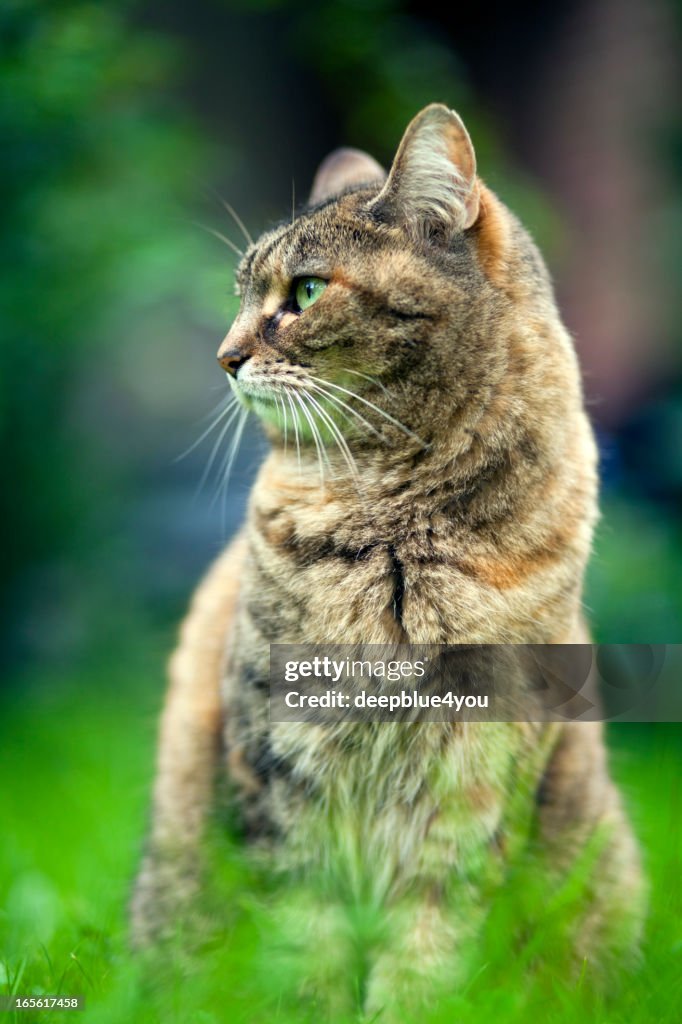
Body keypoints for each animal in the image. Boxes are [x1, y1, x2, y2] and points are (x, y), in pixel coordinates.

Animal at [131, 101, 643, 1015]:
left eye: (304, 292)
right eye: (241, 297)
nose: (224, 357)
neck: (396, 532)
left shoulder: (473, 780)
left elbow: (428, 942)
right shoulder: (282, 765)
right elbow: (307, 935)